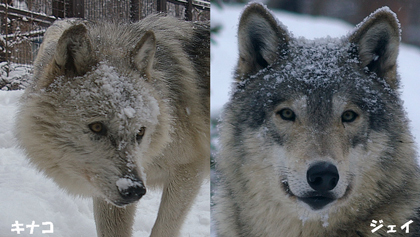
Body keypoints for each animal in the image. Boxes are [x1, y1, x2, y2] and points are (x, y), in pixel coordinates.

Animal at [16, 14, 210, 237]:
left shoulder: (189, 169)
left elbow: (163, 229)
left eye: (140, 132)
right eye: (97, 127)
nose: (134, 190)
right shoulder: (107, 196)